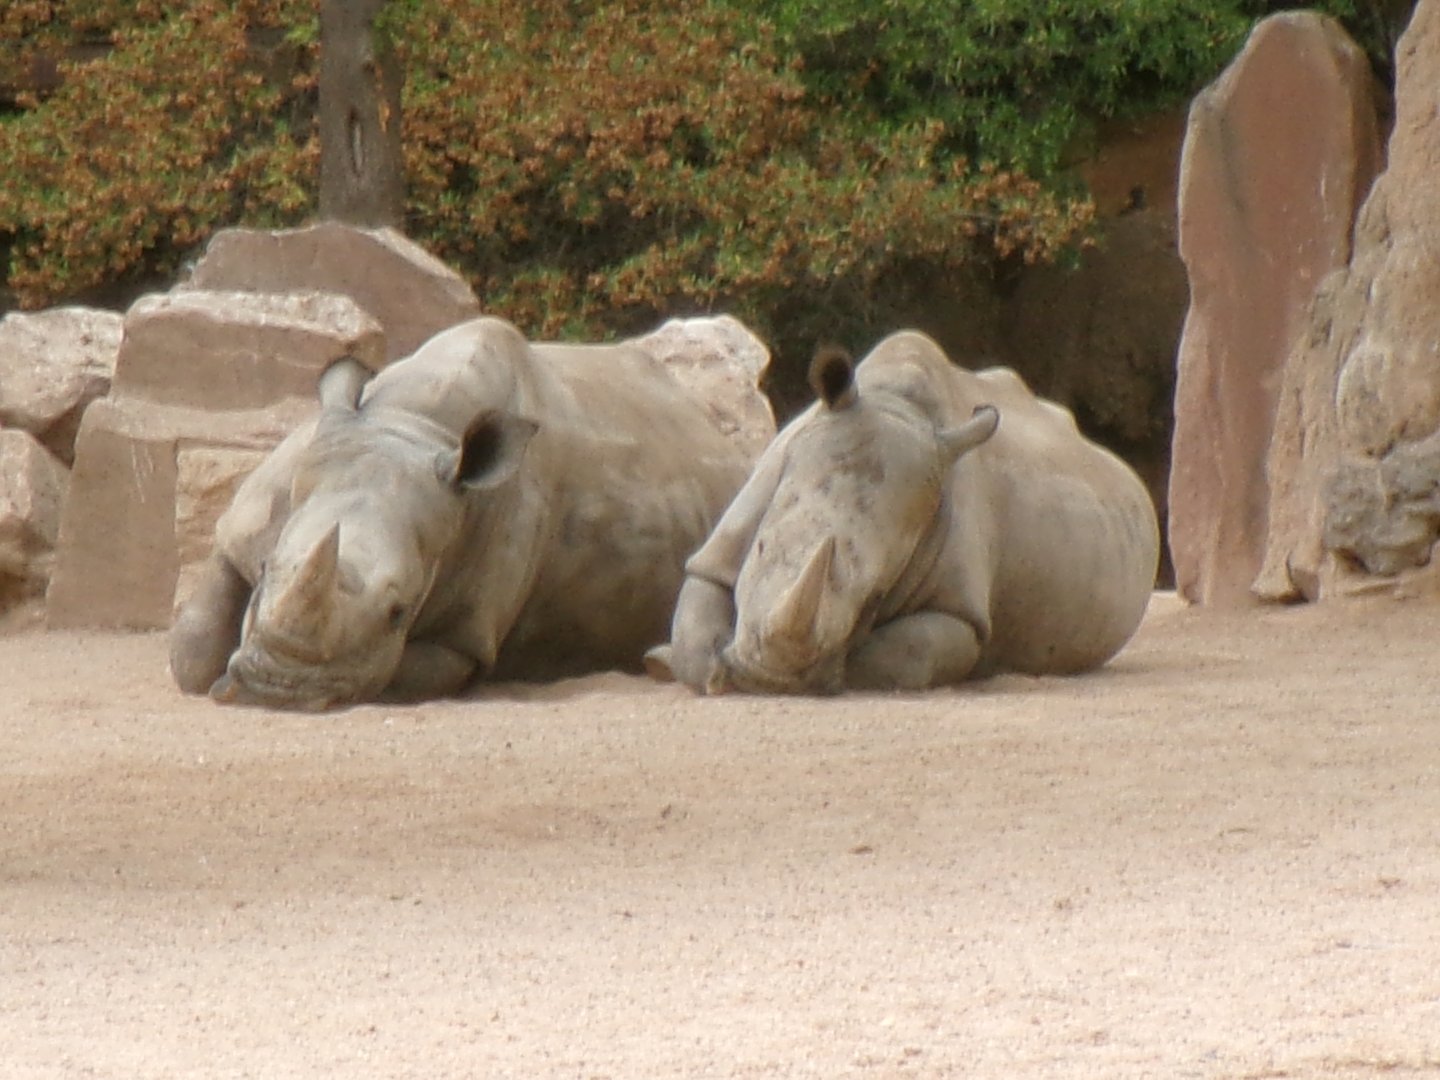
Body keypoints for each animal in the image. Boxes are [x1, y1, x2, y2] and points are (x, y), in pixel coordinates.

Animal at [170, 315, 774, 710]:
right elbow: (191, 649)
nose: (279, 690)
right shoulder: (246, 524)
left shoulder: (465, 636)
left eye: (399, 612)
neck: (413, 424)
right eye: (265, 570)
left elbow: (397, 673)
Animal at [645, 330, 1160, 695]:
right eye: (761, 547)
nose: (766, 680)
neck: (894, 405)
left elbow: (907, 652)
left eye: (874, 595)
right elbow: (697, 614)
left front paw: (834, 673)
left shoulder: (960, 611)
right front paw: (690, 666)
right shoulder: (730, 535)